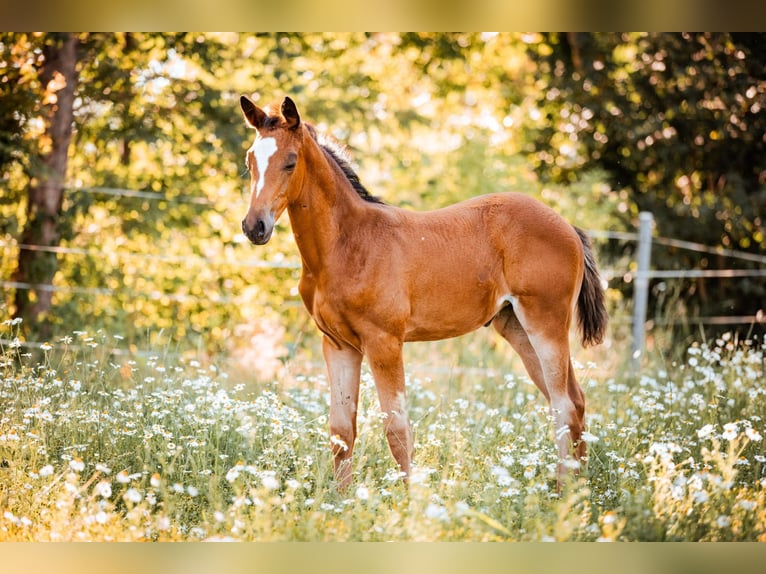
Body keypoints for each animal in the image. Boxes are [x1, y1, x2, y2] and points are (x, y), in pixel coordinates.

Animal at [238, 95, 608, 490]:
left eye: (290, 161)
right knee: (574, 401)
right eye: (250, 160)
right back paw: (579, 489)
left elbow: (397, 431)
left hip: (545, 323)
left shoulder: (384, 343)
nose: (254, 226)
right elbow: (341, 432)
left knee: (564, 405)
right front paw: (342, 500)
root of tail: (567, 226)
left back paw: (566, 493)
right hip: (516, 326)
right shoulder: (337, 345)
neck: (348, 244)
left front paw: (409, 501)